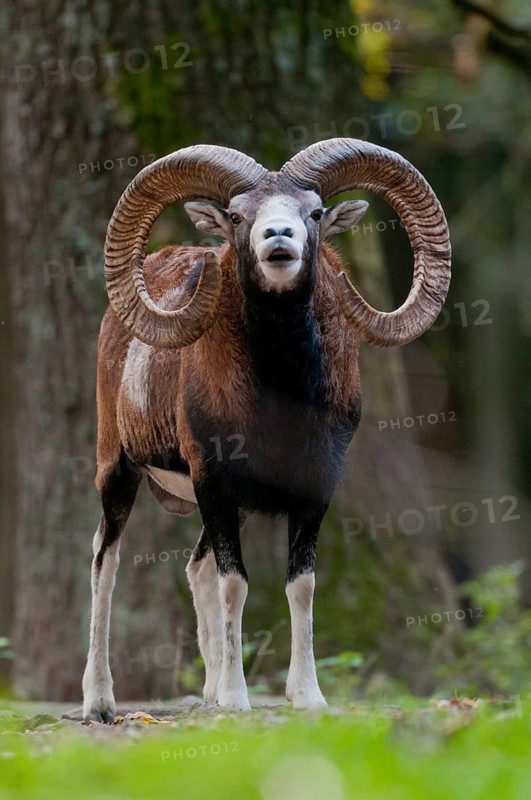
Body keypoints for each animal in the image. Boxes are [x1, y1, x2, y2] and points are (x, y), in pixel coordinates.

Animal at [82, 138, 451, 722]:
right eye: (238, 216)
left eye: (315, 212)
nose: (279, 237)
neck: (281, 394)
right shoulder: (214, 481)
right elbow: (235, 584)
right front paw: (236, 701)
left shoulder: (312, 491)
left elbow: (300, 585)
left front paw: (306, 697)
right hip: (118, 471)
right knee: (106, 559)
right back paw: (99, 703)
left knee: (194, 568)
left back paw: (207, 690)